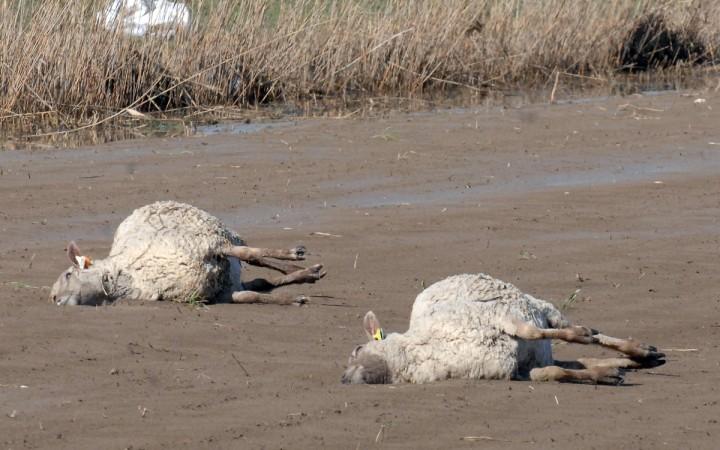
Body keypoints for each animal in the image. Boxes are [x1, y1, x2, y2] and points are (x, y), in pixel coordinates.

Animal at [50, 201, 326, 306]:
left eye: (68, 274)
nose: (55, 300)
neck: (126, 275)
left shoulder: (204, 245)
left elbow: (250, 255)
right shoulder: (221, 293)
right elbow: (251, 296)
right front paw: (292, 299)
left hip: (212, 237)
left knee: (251, 254)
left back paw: (299, 260)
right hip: (225, 269)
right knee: (260, 279)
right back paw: (305, 274)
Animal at [342, 273, 665, 385]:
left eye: (356, 349)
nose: (344, 379)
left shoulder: (495, 315)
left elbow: (535, 333)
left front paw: (584, 337)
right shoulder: (515, 371)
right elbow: (553, 374)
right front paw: (605, 376)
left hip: (540, 306)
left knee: (582, 332)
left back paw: (639, 350)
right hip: (538, 351)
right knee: (573, 360)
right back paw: (624, 363)